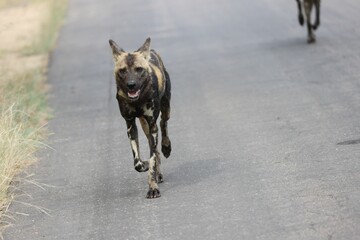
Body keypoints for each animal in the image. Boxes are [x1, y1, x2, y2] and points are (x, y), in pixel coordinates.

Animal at [108, 38, 172, 199]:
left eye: (139, 69)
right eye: (123, 70)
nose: (131, 85)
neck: (137, 100)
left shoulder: (152, 124)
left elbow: (152, 157)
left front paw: (152, 188)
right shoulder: (130, 125)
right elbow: (138, 163)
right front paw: (146, 166)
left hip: (164, 111)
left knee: (163, 123)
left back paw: (166, 147)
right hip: (145, 127)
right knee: (155, 150)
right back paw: (158, 173)